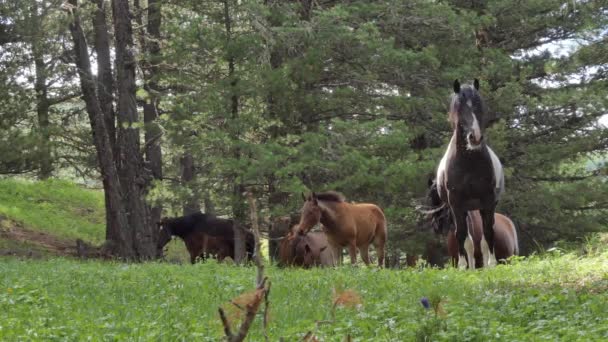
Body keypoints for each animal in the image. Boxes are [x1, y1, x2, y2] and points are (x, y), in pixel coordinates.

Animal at [434, 80, 506, 270]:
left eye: (479, 105)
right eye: (459, 107)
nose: (475, 137)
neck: (469, 163)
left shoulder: (488, 201)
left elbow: (488, 233)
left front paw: (492, 264)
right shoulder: (456, 204)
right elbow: (461, 235)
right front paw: (461, 266)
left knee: (482, 239)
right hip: (464, 210)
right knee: (468, 240)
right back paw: (471, 267)